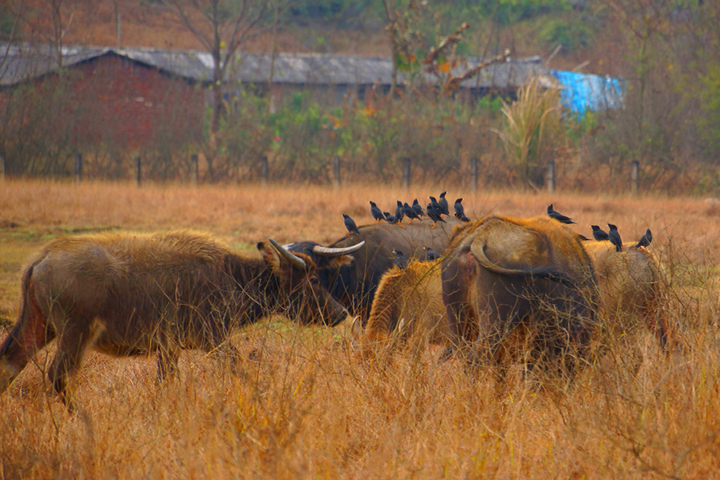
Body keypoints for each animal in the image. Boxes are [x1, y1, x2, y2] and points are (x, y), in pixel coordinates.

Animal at [0, 231, 352, 406]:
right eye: (314, 279)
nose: (340, 313)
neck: (232, 277)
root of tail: (41, 259)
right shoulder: (213, 339)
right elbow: (239, 367)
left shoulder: (169, 348)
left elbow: (165, 381)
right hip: (75, 334)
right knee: (58, 375)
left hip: (38, 326)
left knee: (9, 365)